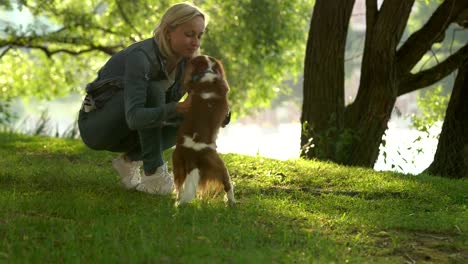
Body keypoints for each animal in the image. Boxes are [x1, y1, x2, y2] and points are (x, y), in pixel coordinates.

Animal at [173, 55, 236, 206]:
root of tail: (191, 155)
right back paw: (231, 202)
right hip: (220, 165)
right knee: (228, 185)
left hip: (177, 163)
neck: (207, 72)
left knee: (179, 186)